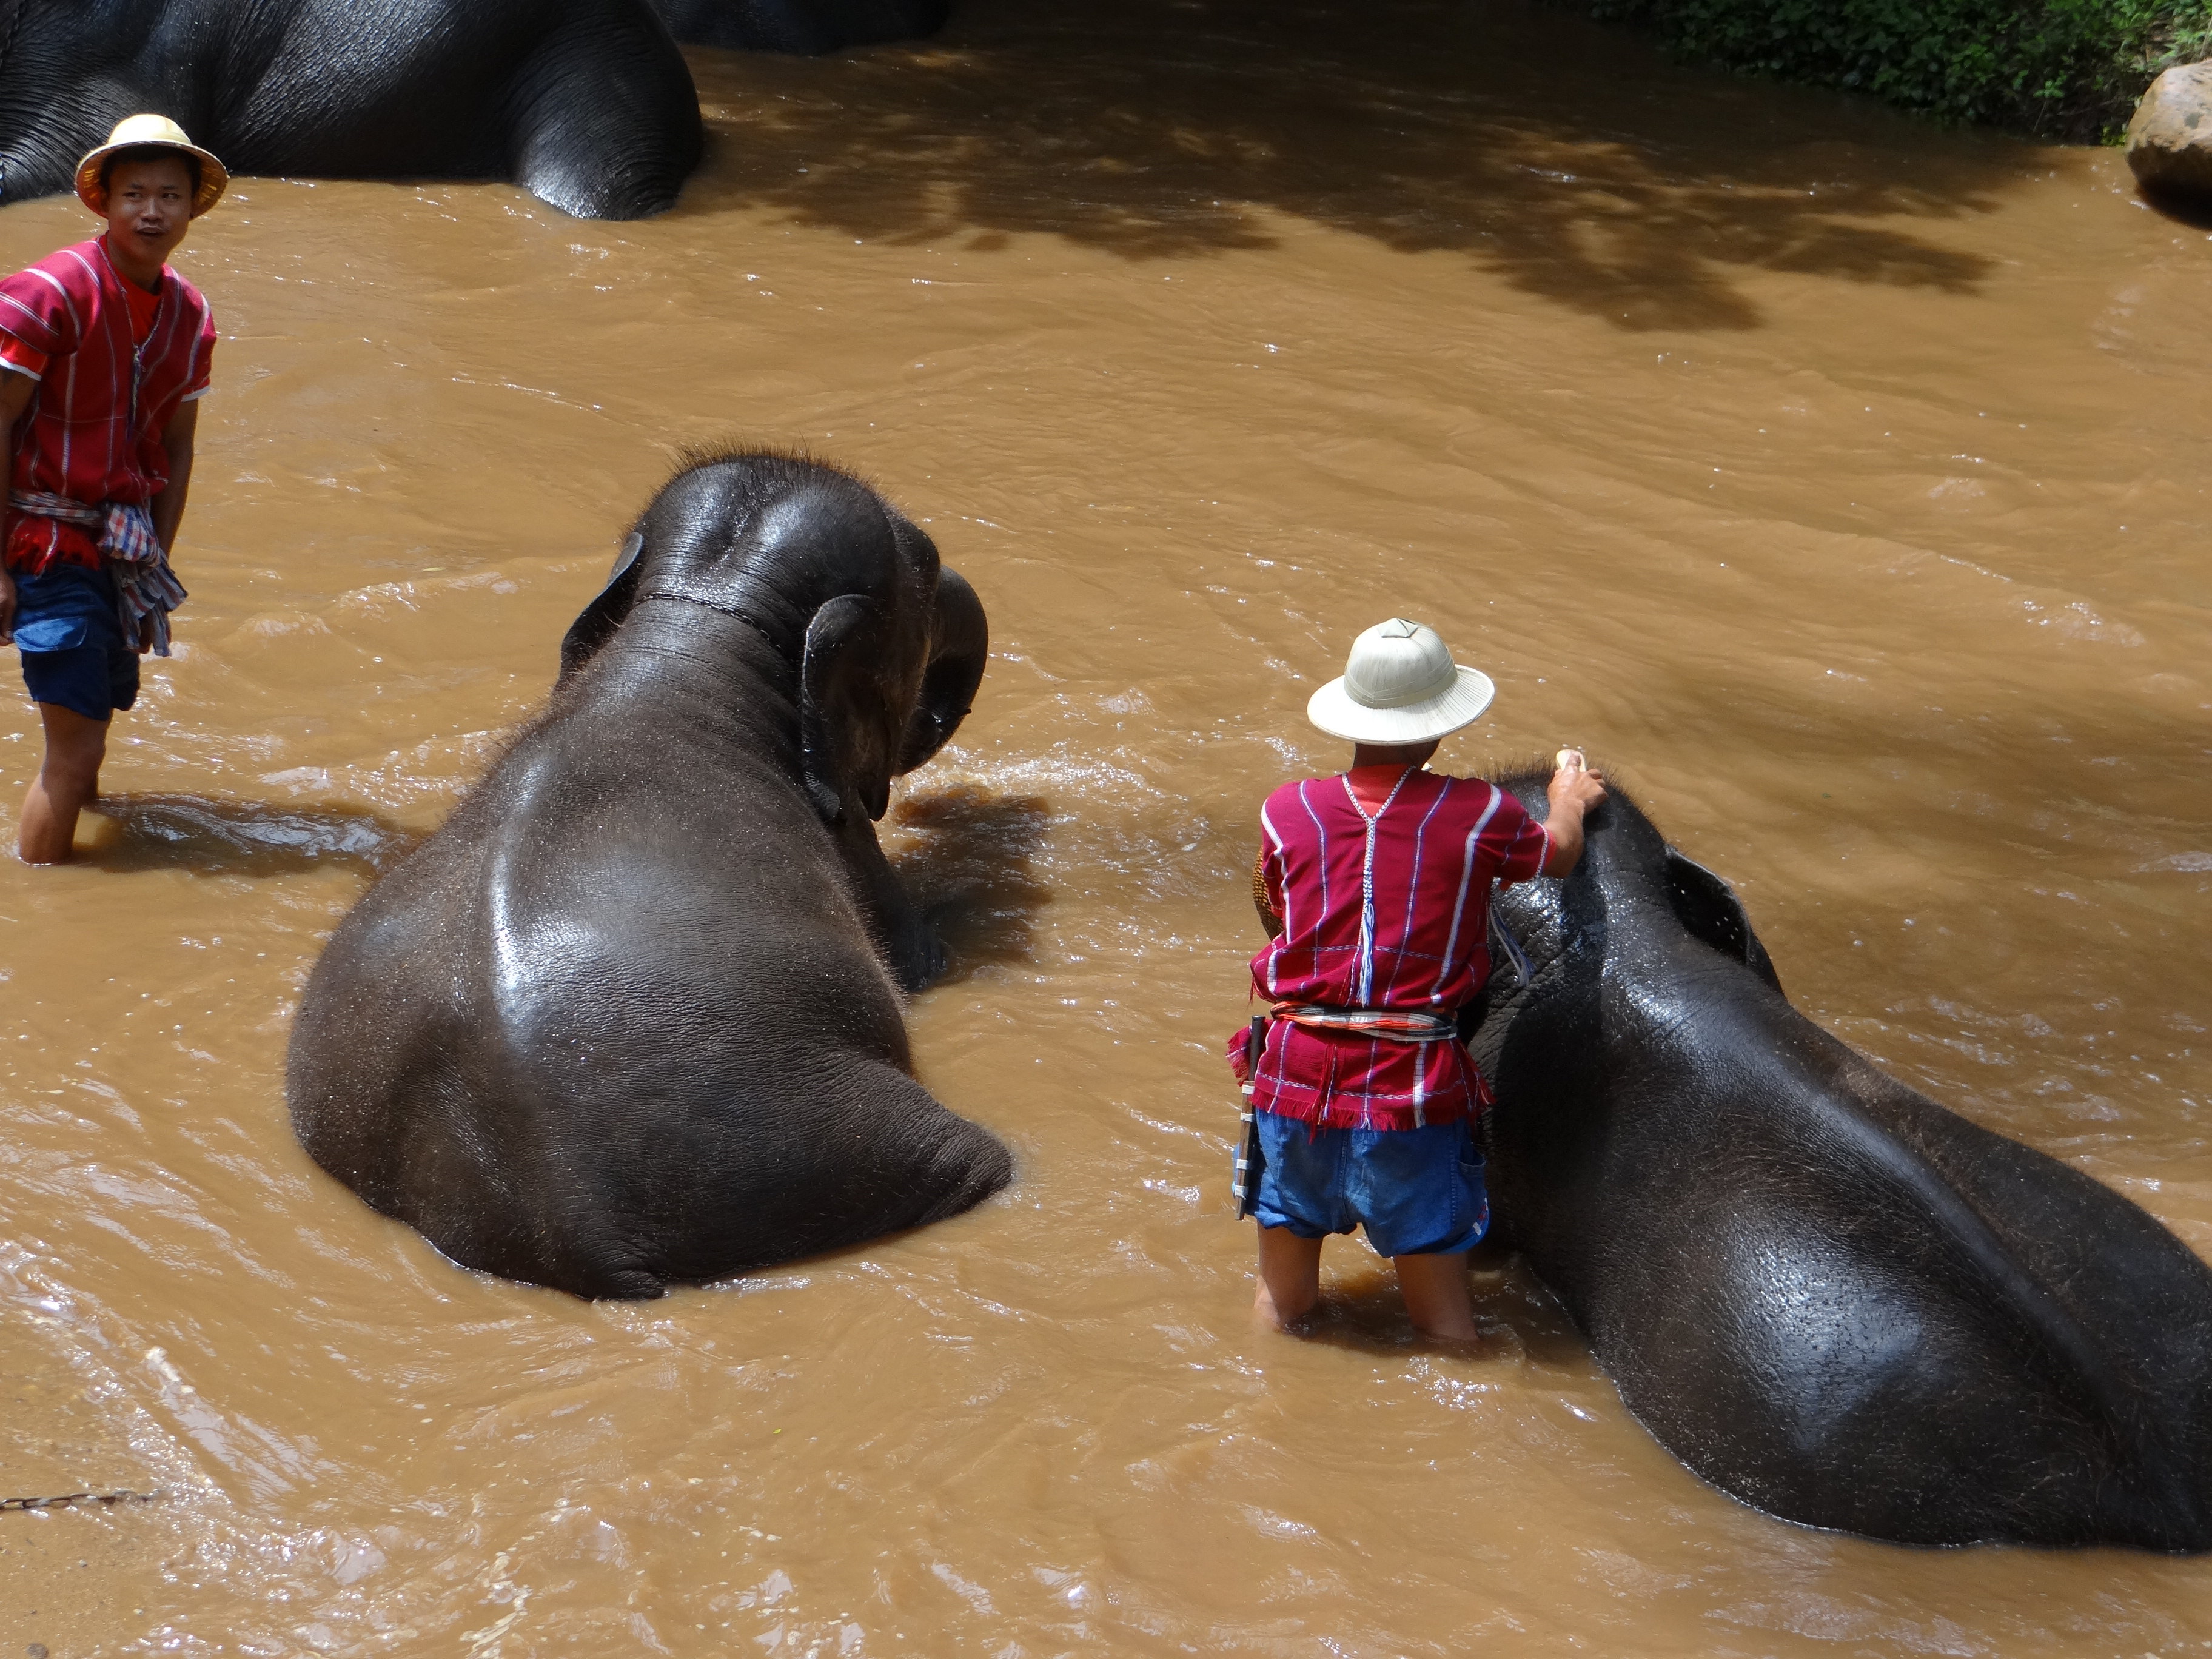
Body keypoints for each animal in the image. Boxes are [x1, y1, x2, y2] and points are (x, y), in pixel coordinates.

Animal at [281, 455, 1008, 1301]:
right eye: (923, 564)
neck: (704, 611)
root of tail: (581, 1235)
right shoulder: (850, 843)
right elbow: (916, 951)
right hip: (825, 1136)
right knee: (982, 1166)